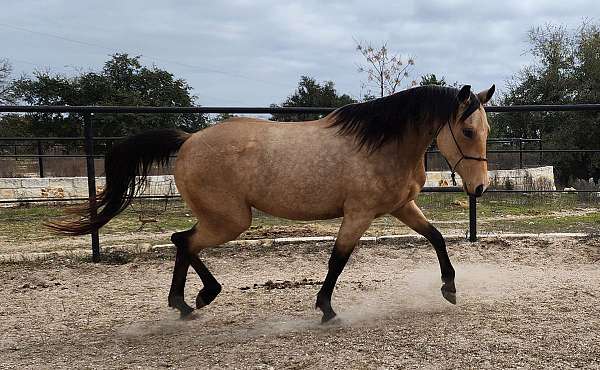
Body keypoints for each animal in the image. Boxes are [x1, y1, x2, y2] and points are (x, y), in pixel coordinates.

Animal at [49, 84, 494, 324]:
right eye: (468, 131)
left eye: (485, 129)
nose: (480, 188)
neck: (381, 145)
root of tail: (188, 140)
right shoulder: (359, 214)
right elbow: (338, 259)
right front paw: (326, 309)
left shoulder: (401, 207)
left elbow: (436, 238)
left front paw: (450, 288)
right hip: (231, 220)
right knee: (184, 241)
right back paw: (196, 298)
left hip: (225, 219)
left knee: (182, 241)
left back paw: (189, 302)